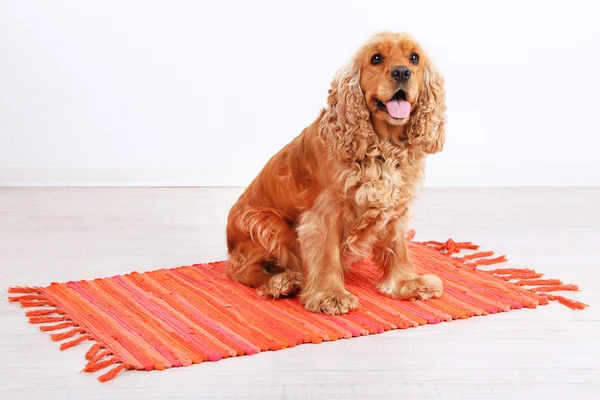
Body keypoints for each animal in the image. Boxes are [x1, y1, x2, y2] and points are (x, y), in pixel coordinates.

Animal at [225, 31, 446, 314]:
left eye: (414, 58)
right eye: (376, 58)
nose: (401, 72)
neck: (383, 146)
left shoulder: (395, 205)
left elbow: (398, 246)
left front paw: (407, 282)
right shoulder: (324, 213)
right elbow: (327, 255)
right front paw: (330, 295)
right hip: (268, 225)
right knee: (241, 269)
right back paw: (281, 282)